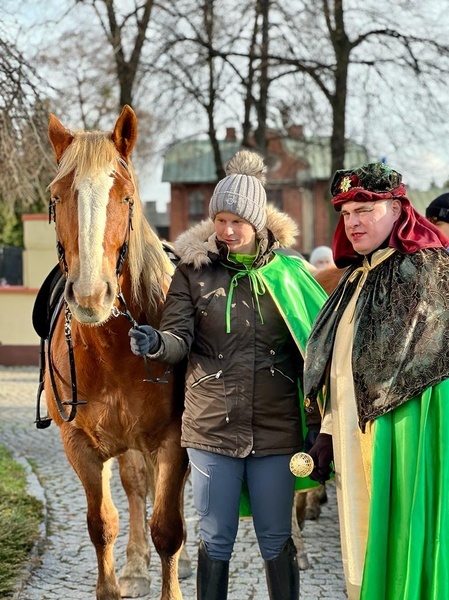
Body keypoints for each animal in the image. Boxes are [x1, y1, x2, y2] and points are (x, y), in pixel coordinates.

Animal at [43, 105, 187, 596]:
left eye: (125, 197)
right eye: (56, 196)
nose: (90, 295)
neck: (113, 349)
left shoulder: (173, 440)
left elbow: (169, 528)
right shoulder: (79, 446)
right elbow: (102, 523)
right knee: (135, 483)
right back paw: (137, 566)